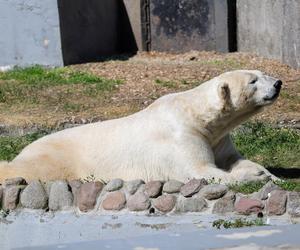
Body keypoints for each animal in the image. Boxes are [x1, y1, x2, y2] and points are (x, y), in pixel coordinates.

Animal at [0, 69, 282, 183]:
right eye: (253, 81)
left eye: (263, 73)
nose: (278, 83)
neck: (194, 115)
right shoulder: (181, 137)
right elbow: (200, 170)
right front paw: (253, 177)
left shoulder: (218, 137)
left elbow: (233, 159)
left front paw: (268, 174)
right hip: (55, 158)